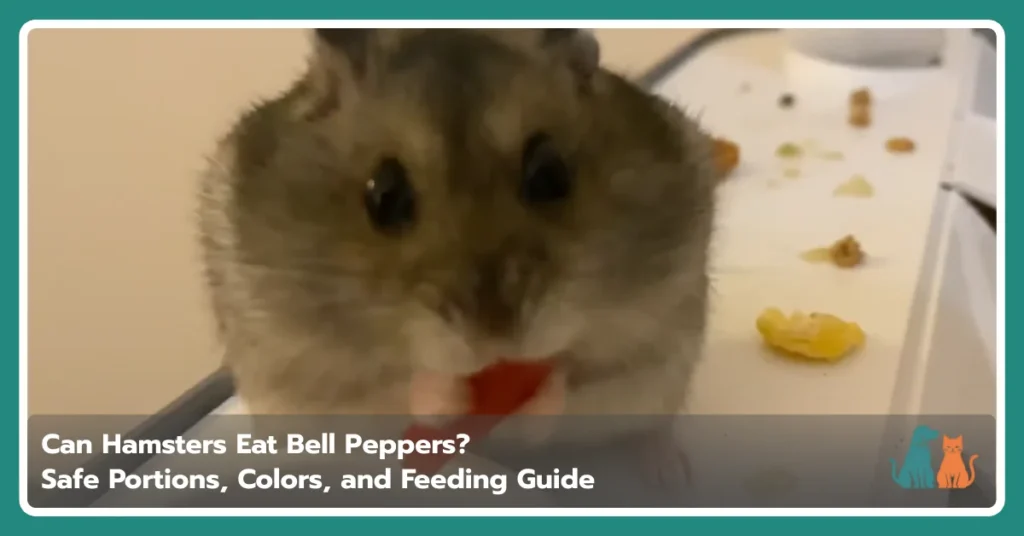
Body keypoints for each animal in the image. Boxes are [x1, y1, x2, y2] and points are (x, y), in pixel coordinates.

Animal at [198, 29, 716, 439]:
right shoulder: (311, 365)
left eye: (550, 175)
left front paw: (541, 391)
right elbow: (403, 388)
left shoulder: (649, 332)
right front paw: (447, 394)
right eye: (385, 196)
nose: (497, 338)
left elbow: (572, 379)